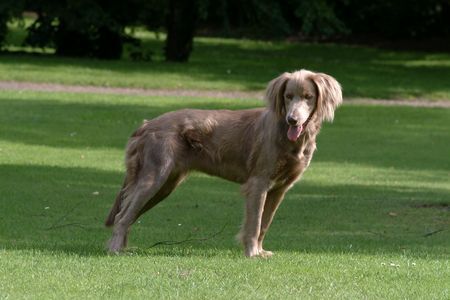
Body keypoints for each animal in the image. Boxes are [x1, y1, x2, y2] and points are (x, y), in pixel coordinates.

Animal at [104, 69, 342, 256]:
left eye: (308, 96)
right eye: (288, 96)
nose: (292, 119)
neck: (286, 134)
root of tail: (146, 125)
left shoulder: (279, 189)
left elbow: (264, 223)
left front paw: (261, 251)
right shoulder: (258, 183)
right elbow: (254, 223)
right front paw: (252, 253)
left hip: (165, 185)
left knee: (128, 215)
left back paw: (123, 248)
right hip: (154, 177)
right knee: (123, 216)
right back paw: (115, 250)